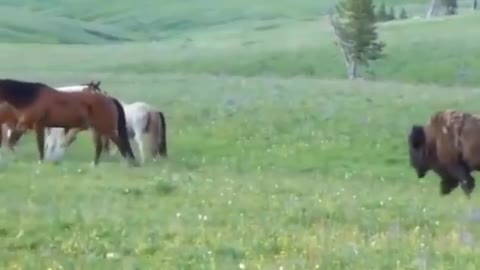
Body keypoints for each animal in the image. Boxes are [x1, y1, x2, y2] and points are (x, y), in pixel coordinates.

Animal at [0, 78, 138, 166]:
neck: (30, 98)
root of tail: (109, 99)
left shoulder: (38, 126)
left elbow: (40, 145)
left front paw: (41, 161)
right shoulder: (23, 126)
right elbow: (11, 142)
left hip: (107, 128)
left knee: (120, 143)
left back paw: (128, 163)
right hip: (97, 129)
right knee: (100, 147)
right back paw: (94, 164)